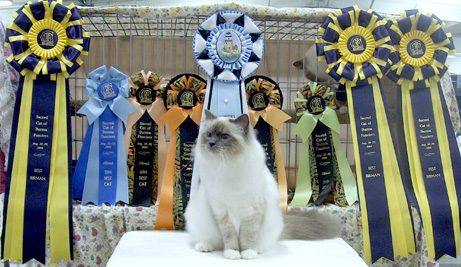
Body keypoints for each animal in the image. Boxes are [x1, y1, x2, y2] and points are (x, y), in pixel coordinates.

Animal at [184, 110, 342, 260]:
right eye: (209, 134)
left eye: (224, 136)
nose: (211, 143)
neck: (226, 165)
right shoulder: (221, 211)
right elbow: (229, 237)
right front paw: (233, 253)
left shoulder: (252, 210)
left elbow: (247, 236)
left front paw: (247, 253)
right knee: (216, 242)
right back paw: (204, 246)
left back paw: (257, 250)